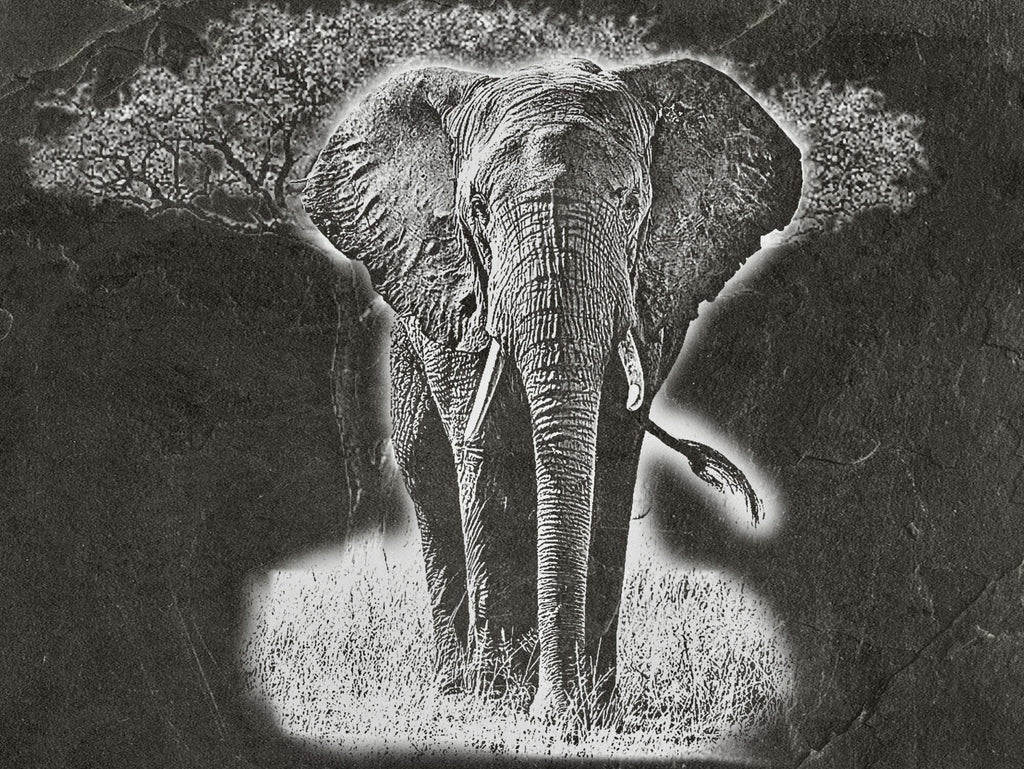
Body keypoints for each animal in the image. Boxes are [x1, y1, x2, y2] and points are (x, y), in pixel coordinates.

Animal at [302, 57, 802, 725]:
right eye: (477, 209)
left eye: (630, 203)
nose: (555, 710)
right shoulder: (455, 287)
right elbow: (482, 452)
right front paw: (502, 704)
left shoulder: (649, 295)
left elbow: (611, 455)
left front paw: (590, 709)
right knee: (427, 471)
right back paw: (459, 691)